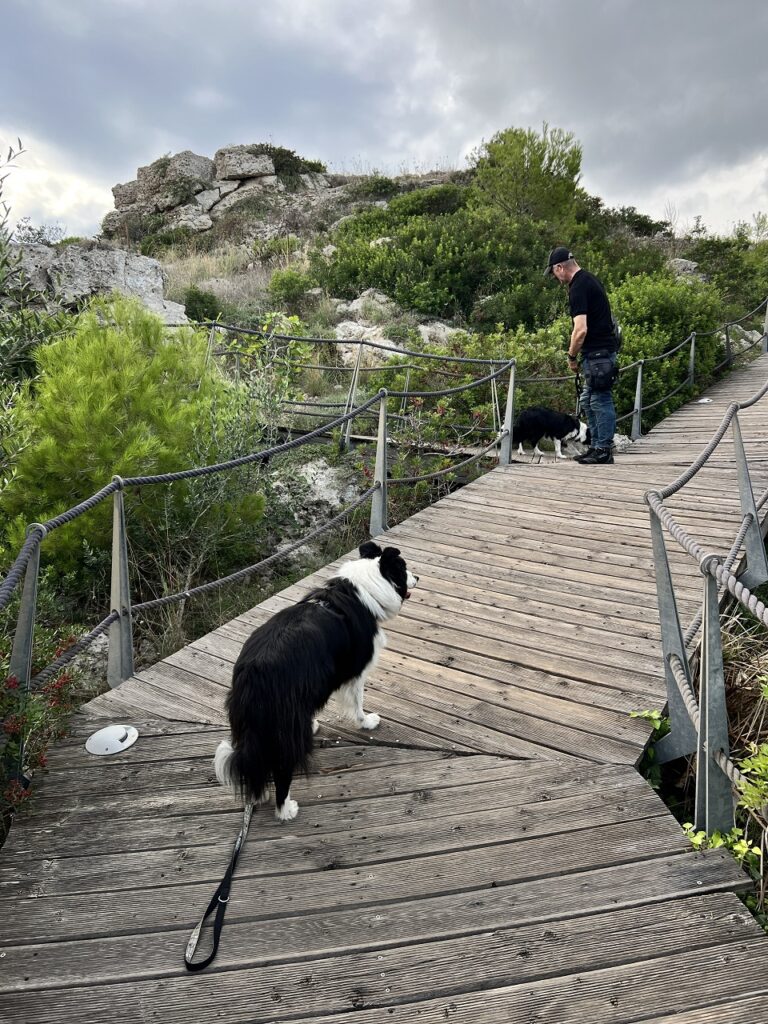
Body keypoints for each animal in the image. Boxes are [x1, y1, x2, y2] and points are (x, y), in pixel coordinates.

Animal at [217, 544, 417, 823]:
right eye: (403, 568)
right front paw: (366, 722)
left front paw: (311, 725)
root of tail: (253, 675)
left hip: (250, 723)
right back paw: (285, 810)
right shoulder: (355, 670)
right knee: (281, 769)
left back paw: (258, 796)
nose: (417, 577)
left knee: (255, 764)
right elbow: (358, 702)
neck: (362, 590)